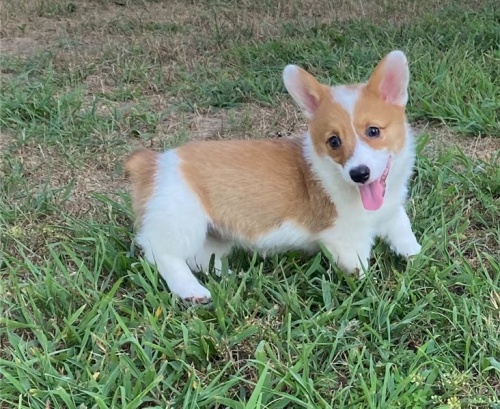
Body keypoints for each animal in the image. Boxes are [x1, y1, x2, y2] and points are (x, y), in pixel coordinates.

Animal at [125, 49, 422, 302]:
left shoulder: (391, 211)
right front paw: (372, 289)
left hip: (211, 235)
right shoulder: (345, 238)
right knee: (163, 254)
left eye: (373, 131)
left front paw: (416, 256)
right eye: (334, 141)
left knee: (201, 259)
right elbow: (359, 267)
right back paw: (191, 291)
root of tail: (153, 162)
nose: (359, 174)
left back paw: (230, 277)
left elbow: (403, 230)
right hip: (182, 220)